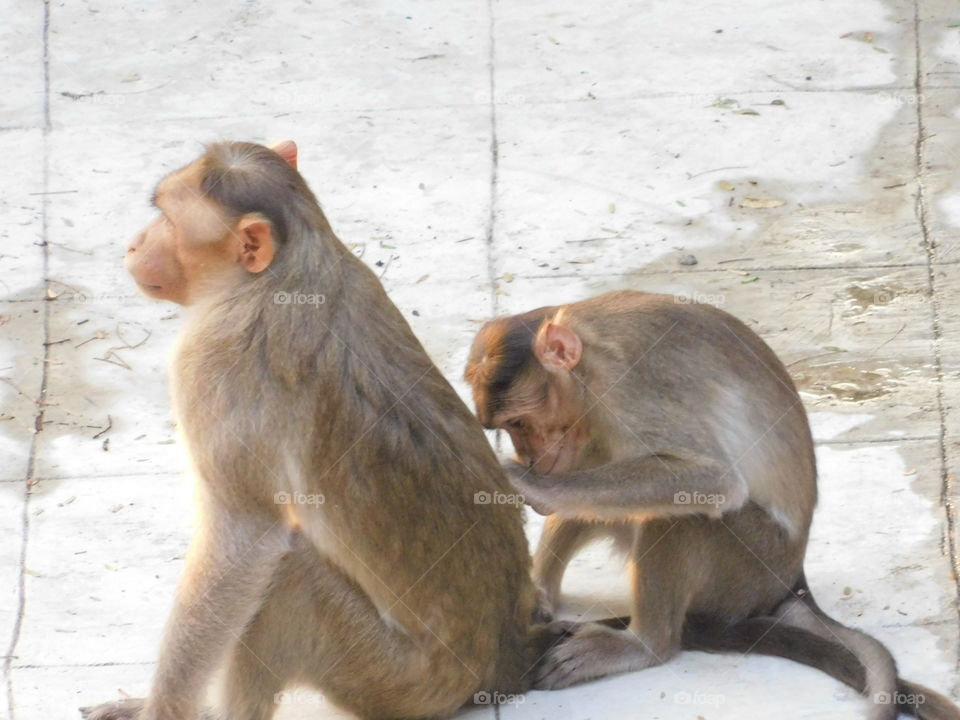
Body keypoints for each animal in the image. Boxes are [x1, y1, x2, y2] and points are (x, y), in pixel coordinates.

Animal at [80, 140, 549, 720]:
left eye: (167, 218)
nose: (134, 243)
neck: (283, 266)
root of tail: (503, 662)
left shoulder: (210, 364)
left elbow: (246, 536)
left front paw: (160, 711)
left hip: (393, 678)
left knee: (289, 576)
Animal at [464, 290, 960, 720]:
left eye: (519, 423)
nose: (532, 458)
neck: (587, 356)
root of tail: (789, 580)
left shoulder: (633, 386)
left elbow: (713, 479)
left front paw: (528, 485)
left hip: (748, 568)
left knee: (685, 514)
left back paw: (646, 645)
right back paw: (542, 596)